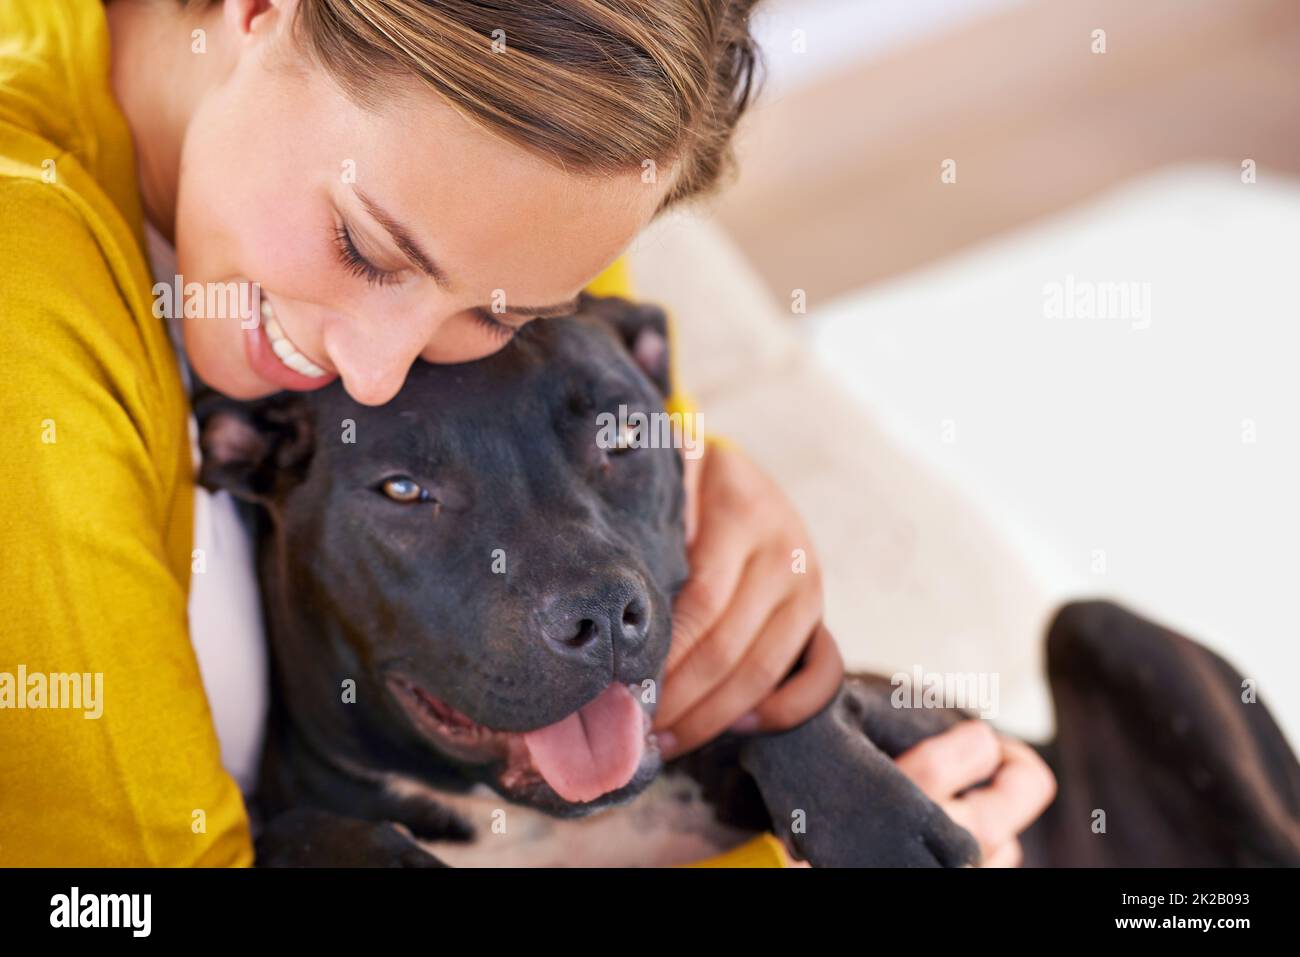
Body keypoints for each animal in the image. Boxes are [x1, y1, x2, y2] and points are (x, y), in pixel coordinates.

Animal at [195, 293, 1300, 868]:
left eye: (620, 432)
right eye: (402, 488)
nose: (601, 615)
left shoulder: (947, 727)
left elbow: (797, 696)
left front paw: (876, 824)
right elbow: (298, 831)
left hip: (1102, 627)